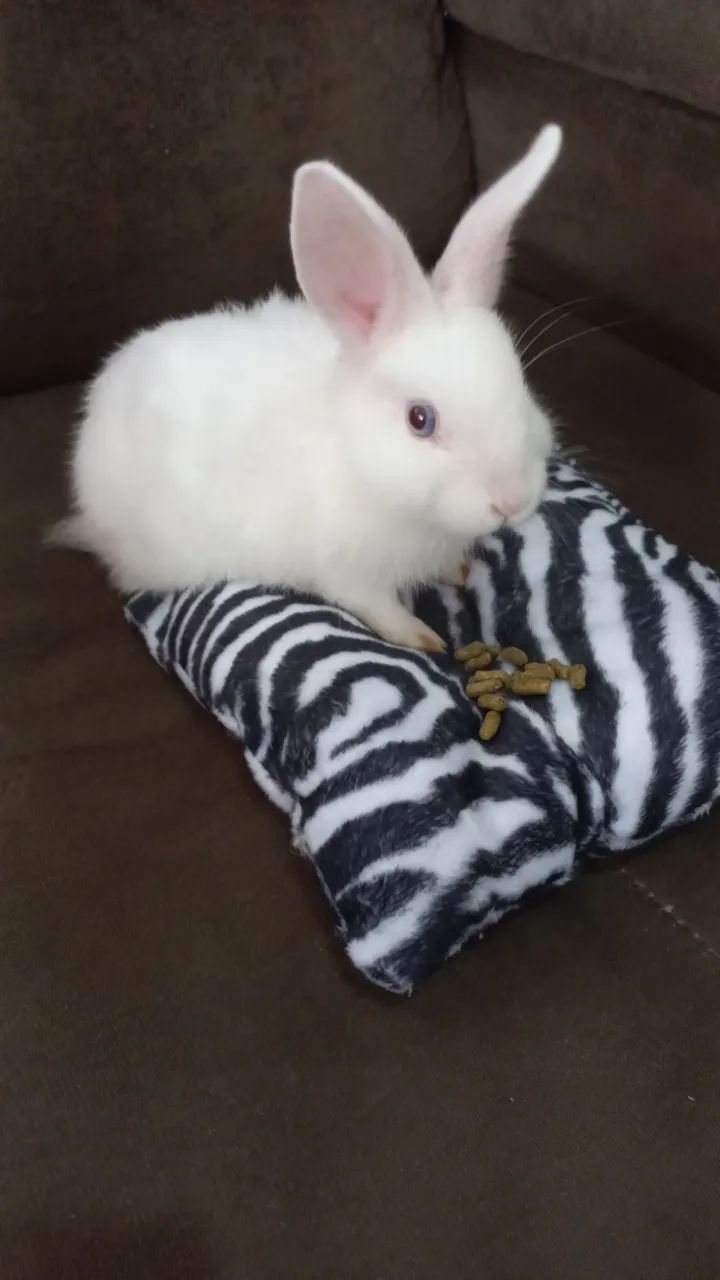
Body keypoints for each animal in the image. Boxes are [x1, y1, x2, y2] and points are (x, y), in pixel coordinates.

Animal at [53, 124, 562, 652]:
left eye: (522, 388)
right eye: (420, 419)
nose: (512, 502)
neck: (359, 462)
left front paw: (456, 569)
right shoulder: (347, 573)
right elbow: (379, 609)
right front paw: (422, 639)